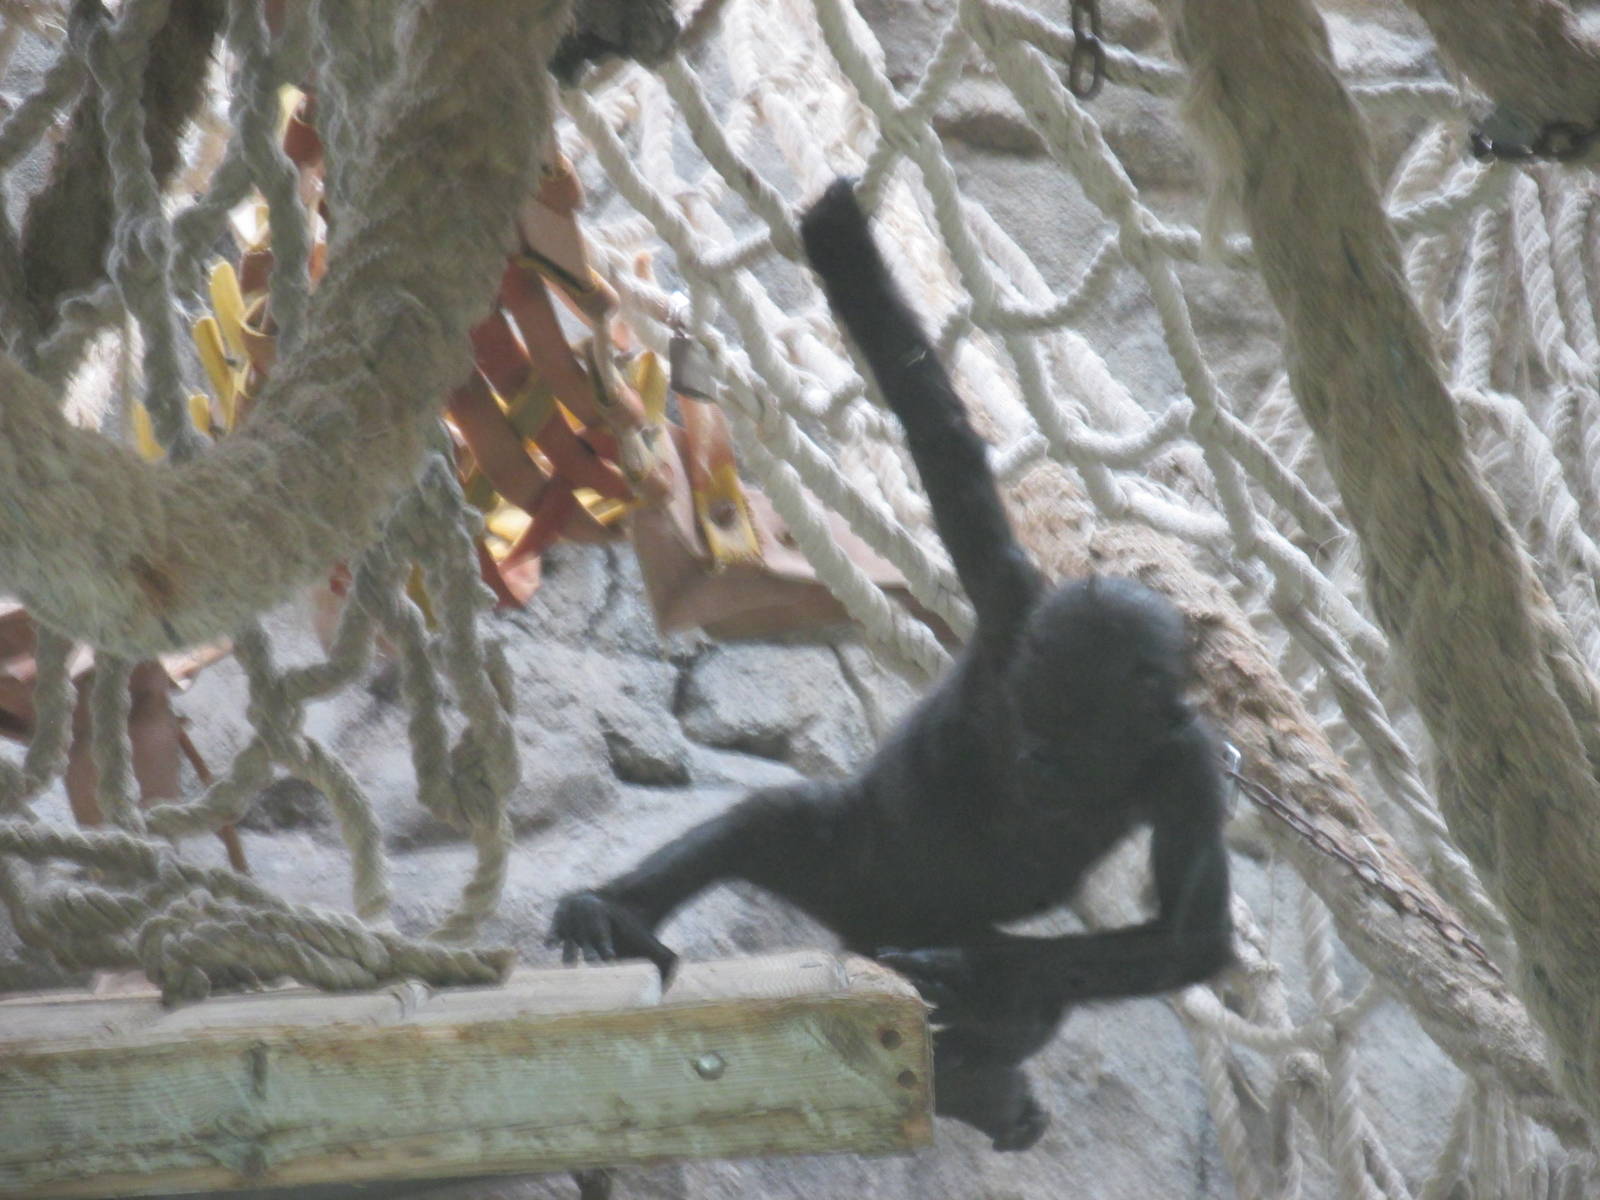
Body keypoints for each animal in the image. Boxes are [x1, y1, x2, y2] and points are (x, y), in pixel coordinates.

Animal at [550, 178, 1234, 1152]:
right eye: (1031, 714)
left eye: (1071, 735)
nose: (1035, 762)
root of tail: (865, 938)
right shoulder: (1008, 600)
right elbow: (934, 424)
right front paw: (842, 242)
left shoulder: (1189, 766)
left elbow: (1189, 939)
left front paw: (969, 968)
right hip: (852, 867)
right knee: (768, 822)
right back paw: (614, 915)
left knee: (1033, 999)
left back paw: (972, 1072)